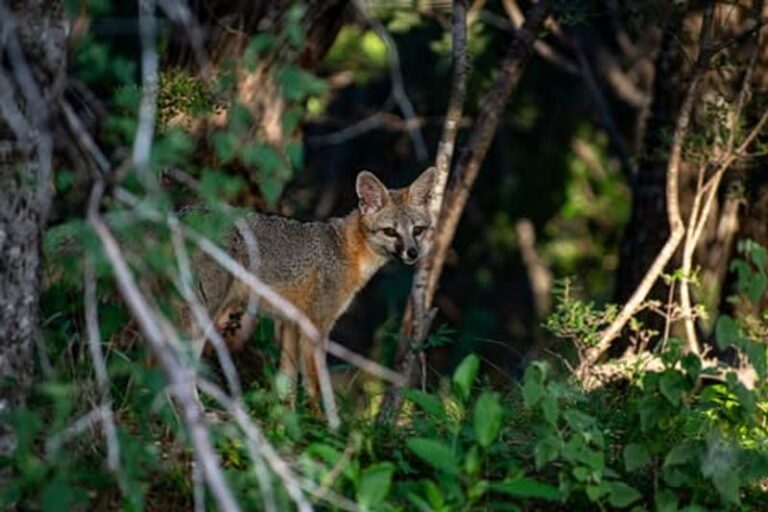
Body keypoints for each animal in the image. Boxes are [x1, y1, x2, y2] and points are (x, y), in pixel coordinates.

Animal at [187, 166, 437, 410]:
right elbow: (317, 389)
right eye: (390, 232)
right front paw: (324, 422)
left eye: (417, 230)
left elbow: (286, 386)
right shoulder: (315, 327)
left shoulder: (290, 323)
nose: (413, 253)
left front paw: (288, 421)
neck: (346, 251)